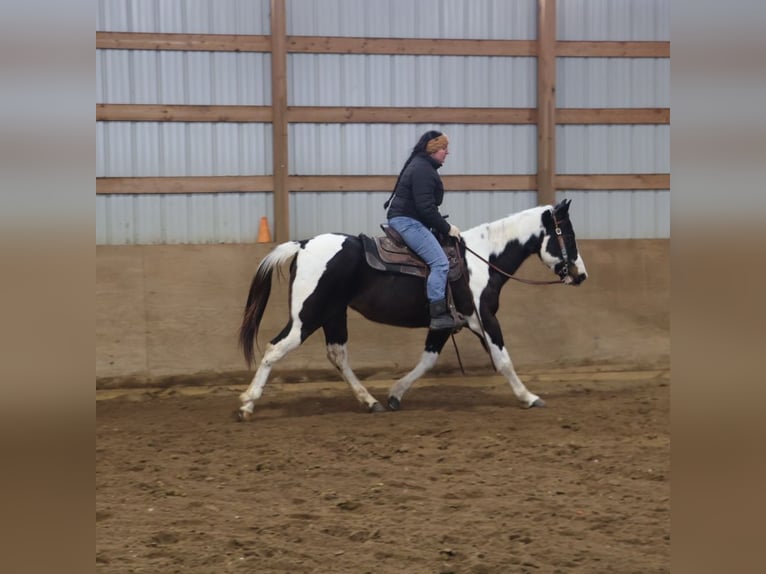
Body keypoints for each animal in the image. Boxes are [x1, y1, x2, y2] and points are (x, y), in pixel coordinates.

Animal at [237, 198, 587, 421]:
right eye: (568, 235)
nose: (581, 275)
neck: (483, 258)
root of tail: (303, 245)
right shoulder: (485, 319)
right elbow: (503, 360)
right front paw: (528, 397)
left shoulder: (444, 324)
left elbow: (428, 360)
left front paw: (395, 394)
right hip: (306, 317)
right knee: (274, 349)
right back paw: (247, 404)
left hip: (333, 315)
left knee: (338, 356)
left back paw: (370, 401)